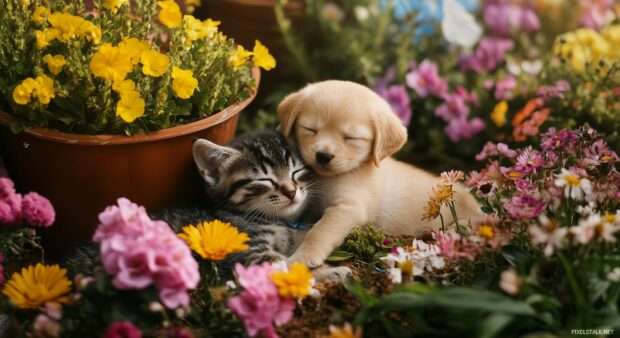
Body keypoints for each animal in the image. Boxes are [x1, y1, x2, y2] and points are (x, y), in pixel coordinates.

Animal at [278, 80, 482, 266]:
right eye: (310, 129)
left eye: (352, 138)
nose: (323, 156)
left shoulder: (349, 208)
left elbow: (318, 232)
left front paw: (302, 257)